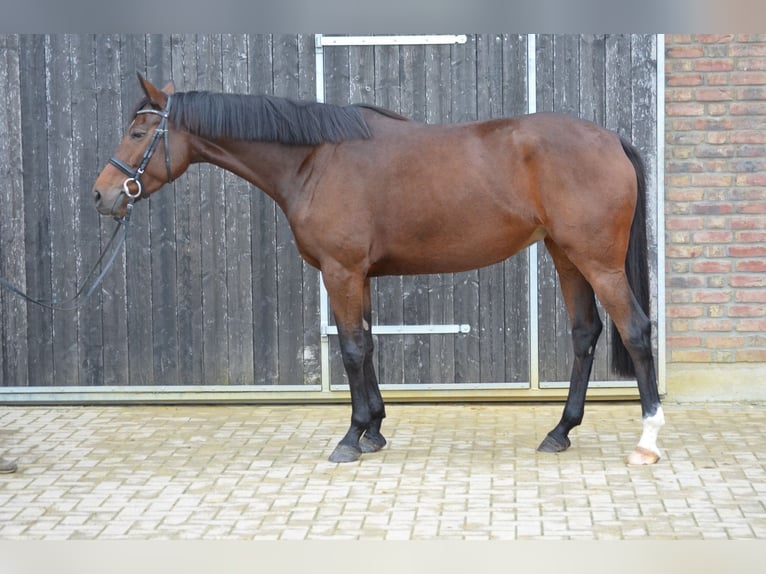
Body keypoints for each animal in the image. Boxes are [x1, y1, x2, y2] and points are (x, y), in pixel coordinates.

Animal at [91, 73, 664, 468]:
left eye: (138, 131)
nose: (102, 195)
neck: (316, 160)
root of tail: (610, 139)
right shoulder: (358, 276)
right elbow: (365, 345)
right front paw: (375, 431)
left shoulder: (340, 271)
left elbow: (348, 349)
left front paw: (351, 437)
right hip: (566, 256)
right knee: (585, 333)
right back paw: (560, 431)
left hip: (598, 262)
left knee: (635, 331)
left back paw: (647, 441)